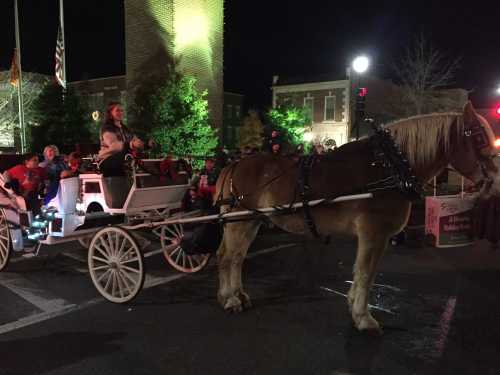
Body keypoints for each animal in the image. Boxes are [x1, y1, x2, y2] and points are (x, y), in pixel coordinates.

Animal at [213, 102, 498, 334]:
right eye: (478, 136)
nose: (495, 183)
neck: (390, 167)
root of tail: (236, 164)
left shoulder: (375, 236)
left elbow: (364, 273)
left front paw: (354, 306)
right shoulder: (374, 233)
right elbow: (365, 273)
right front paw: (363, 317)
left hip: (251, 221)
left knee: (236, 258)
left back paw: (238, 294)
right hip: (241, 222)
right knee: (228, 257)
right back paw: (230, 299)